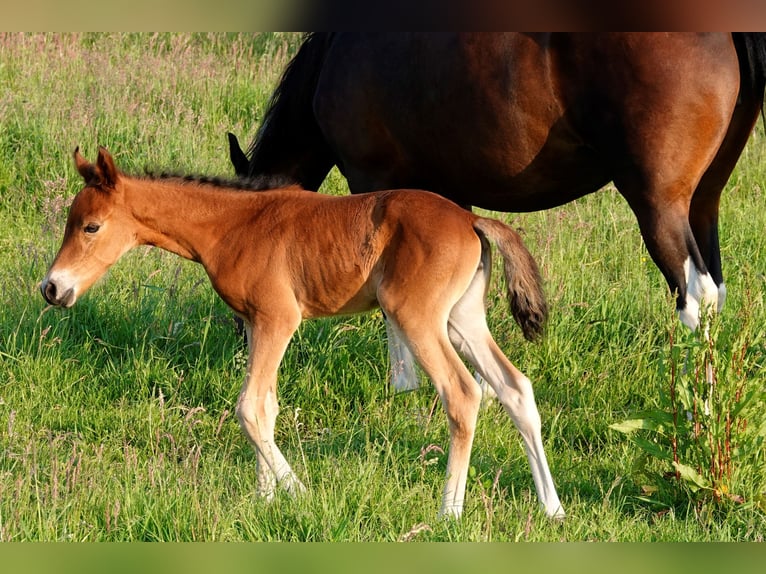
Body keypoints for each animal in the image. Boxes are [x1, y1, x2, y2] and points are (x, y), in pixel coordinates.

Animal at [42, 148, 568, 520]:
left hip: (418, 319)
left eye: (91, 227)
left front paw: (297, 491)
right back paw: (552, 507)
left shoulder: (278, 319)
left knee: (462, 394)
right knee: (515, 388)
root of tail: (472, 220)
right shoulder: (259, 324)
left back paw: (448, 513)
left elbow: (249, 407)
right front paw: (263, 499)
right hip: (463, 318)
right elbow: (268, 407)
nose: (52, 288)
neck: (233, 225)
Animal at [232, 31, 766, 392]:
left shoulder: (374, 183)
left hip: (659, 207)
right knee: (714, 290)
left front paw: (403, 386)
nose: (243, 348)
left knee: (694, 296)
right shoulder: (449, 196)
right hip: (703, 203)